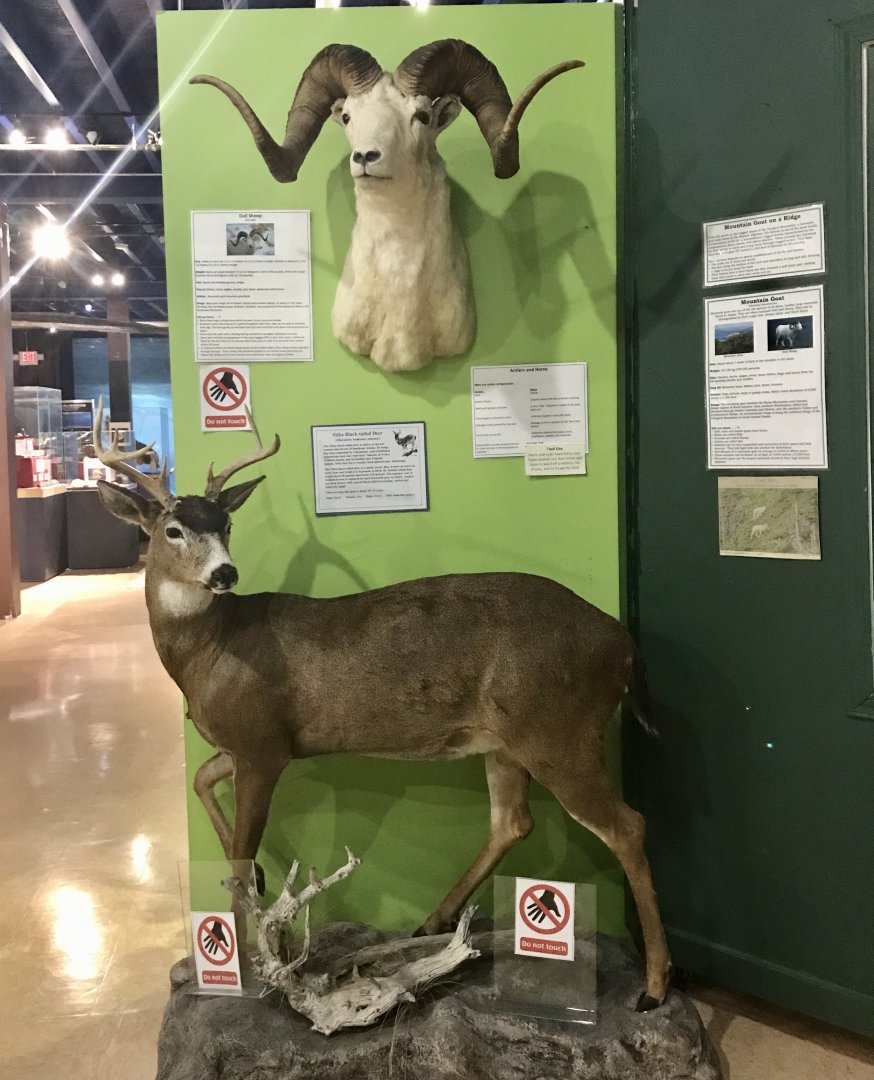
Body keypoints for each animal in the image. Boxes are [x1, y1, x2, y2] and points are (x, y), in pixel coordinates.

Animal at [90, 401, 671, 1011]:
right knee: (512, 821)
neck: (209, 654)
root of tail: (624, 644)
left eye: (225, 524)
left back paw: (654, 986)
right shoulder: (253, 744)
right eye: (173, 529)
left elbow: (239, 852)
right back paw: (433, 923)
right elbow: (203, 783)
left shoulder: (262, 744)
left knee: (626, 826)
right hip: (507, 741)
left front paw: (241, 964)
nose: (224, 573)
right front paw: (261, 891)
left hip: (560, 730)